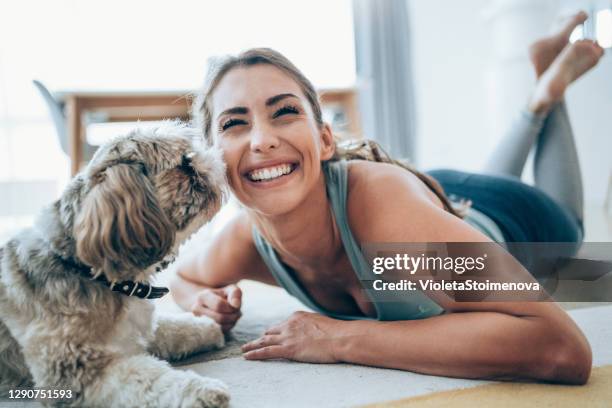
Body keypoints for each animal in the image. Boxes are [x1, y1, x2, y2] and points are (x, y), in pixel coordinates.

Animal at [0, 122, 230, 406]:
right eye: (184, 163)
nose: (211, 159)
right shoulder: (76, 371)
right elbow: (148, 378)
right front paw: (201, 391)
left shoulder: (141, 330)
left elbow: (172, 327)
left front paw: (207, 327)